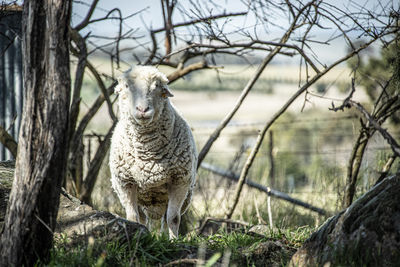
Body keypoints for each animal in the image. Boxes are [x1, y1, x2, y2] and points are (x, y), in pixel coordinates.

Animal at [109, 65, 197, 239]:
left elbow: (173, 218)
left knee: (165, 218)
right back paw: (143, 232)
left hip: (177, 198)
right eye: (127, 86)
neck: (147, 153)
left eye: (157, 88)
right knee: (143, 218)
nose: (143, 109)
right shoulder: (125, 183)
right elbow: (132, 217)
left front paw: (173, 241)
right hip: (142, 198)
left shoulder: (179, 181)